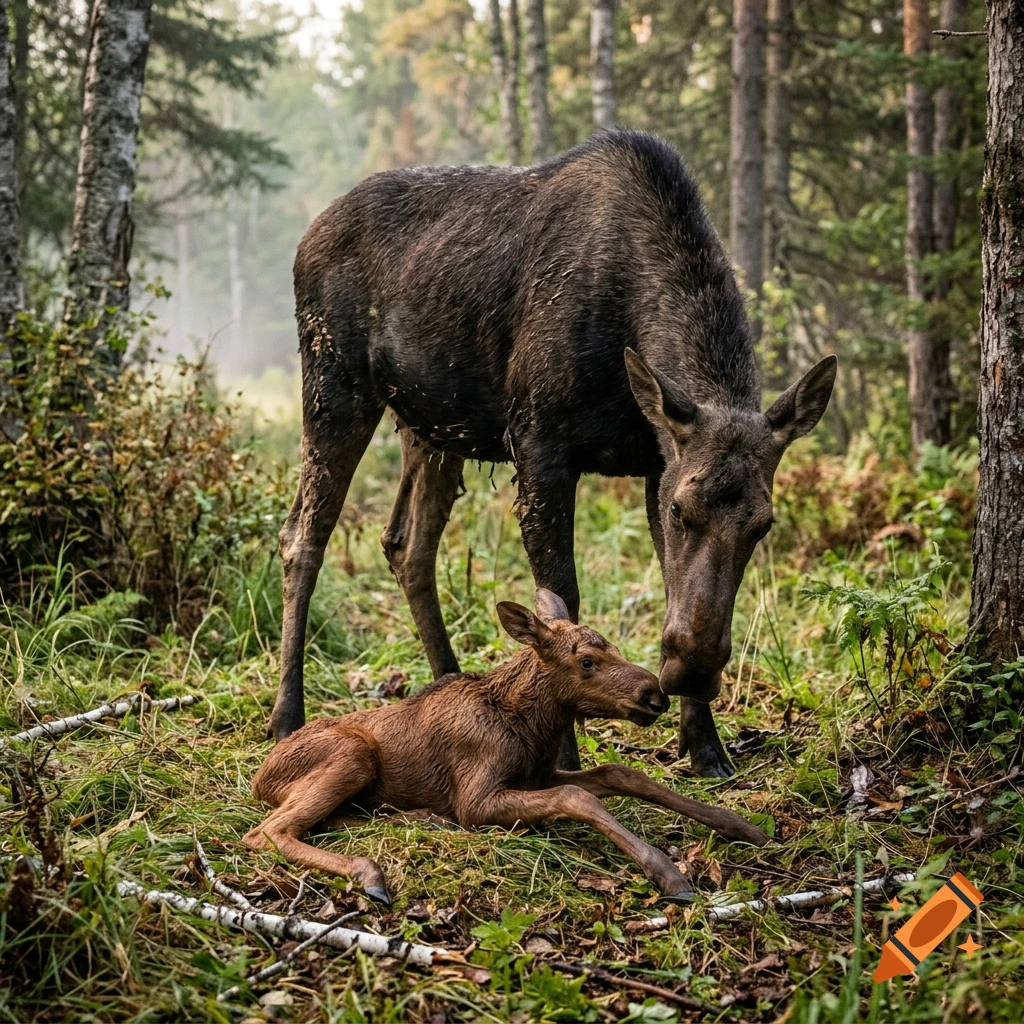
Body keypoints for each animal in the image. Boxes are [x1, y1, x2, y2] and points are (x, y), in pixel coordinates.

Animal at [244, 590, 769, 904]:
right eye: (586, 661)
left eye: (614, 647)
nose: (654, 695)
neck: (531, 727)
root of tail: (258, 780)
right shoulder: (477, 799)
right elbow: (578, 796)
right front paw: (668, 873)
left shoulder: (539, 774)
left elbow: (622, 773)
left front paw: (742, 826)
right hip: (351, 755)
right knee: (268, 832)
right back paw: (369, 872)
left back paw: (420, 819)